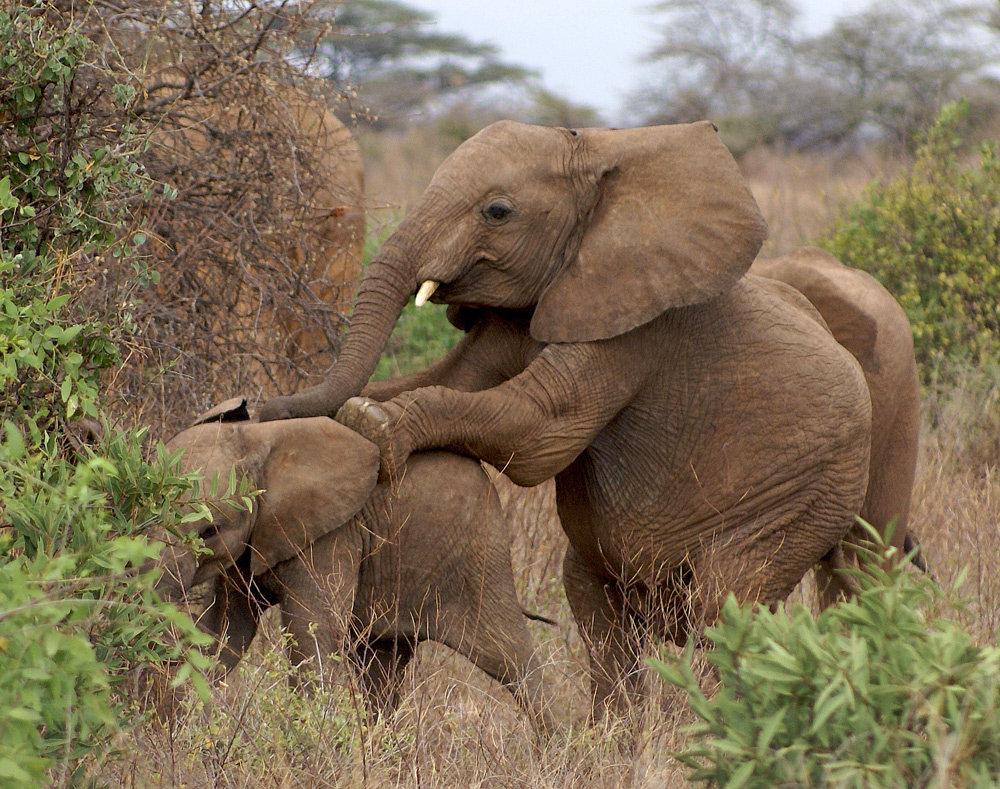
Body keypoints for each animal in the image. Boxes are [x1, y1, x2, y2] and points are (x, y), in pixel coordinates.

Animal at [150, 400, 556, 732]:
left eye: (209, 530)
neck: (258, 441)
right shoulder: (249, 544)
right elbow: (227, 632)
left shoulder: (332, 535)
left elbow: (312, 638)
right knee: (382, 670)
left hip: (478, 558)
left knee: (511, 657)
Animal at [258, 118, 876, 716]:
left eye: (497, 211)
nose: (256, 402)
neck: (601, 160)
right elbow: (456, 379)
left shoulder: (637, 325)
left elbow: (537, 430)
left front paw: (371, 423)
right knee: (594, 603)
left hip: (802, 502)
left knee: (726, 606)